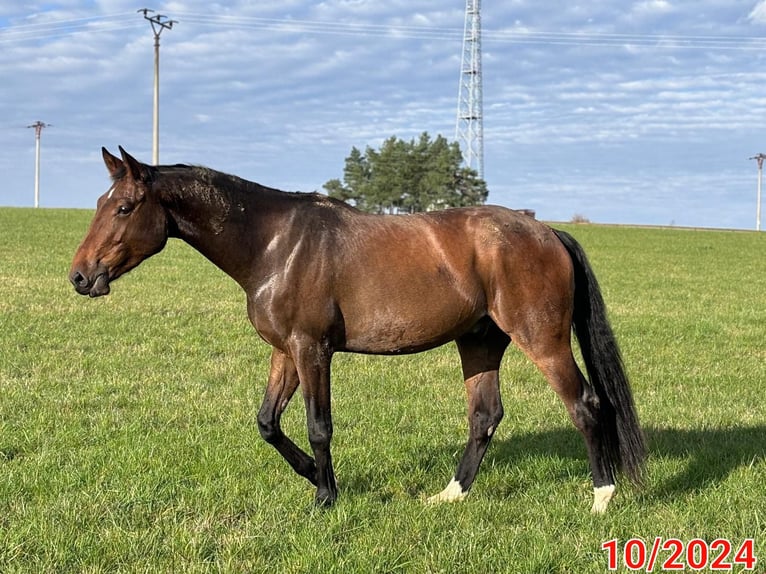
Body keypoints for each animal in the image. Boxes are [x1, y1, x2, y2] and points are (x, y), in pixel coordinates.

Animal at [70, 146, 648, 516]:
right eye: (99, 204)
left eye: (123, 207)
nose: (80, 276)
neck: (275, 244)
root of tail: (546, 230)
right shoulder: (285, 352)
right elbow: (267, 423)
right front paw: (312, 476)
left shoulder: (312, 350)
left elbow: (318, 426)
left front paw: (324, 498)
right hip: (479, 341)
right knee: (485, 417)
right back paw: (449, 495)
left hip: (542, 341)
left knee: (586, 406)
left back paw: (601, 498)